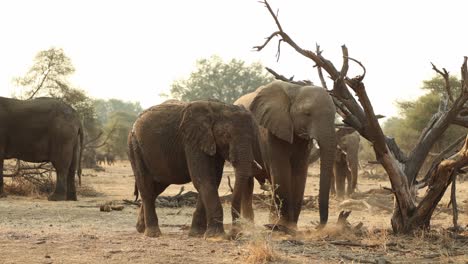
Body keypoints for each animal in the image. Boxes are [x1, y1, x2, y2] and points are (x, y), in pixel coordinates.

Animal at [128, 99, 260, 239]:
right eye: (225, 135)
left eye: (254, 137)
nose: (235, 233)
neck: (218, 108)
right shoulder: (193, 141)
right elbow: (204, 180)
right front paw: (216, 236)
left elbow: (213, 180)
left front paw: (196, 234)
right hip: (135, 148)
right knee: (146, 187)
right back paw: (152, 233)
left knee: (156, 188)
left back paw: (140, 229)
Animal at [234, 80, 336, 229]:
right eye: (307, 113)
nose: (317, 226)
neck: (295, 89)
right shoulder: (269, 130)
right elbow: (281, 170)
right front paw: (285, 226)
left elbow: (300, 173)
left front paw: (291, 226)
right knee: (248, 181)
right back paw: (250, 224)